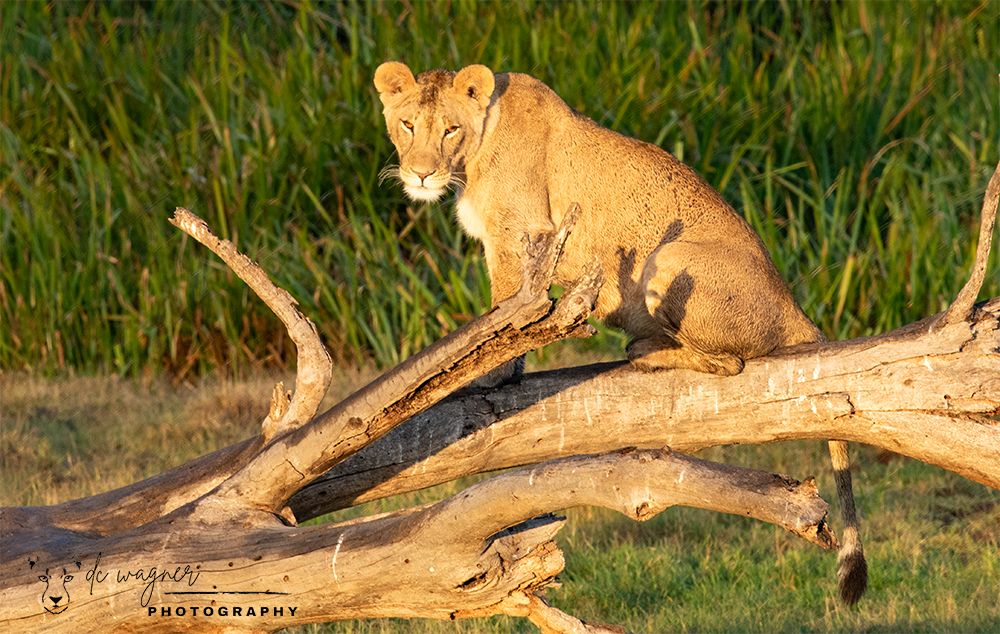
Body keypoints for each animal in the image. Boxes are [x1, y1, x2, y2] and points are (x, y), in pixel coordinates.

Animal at [374, 61, 867, 605]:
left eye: (450, 129)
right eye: (407, 125)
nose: (421, 173)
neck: (474, 153)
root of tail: (793, 304)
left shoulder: (519, 233)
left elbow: (504, 305)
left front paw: (489, 372)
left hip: (667, 257)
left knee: (729, 362)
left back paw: (646, 350)